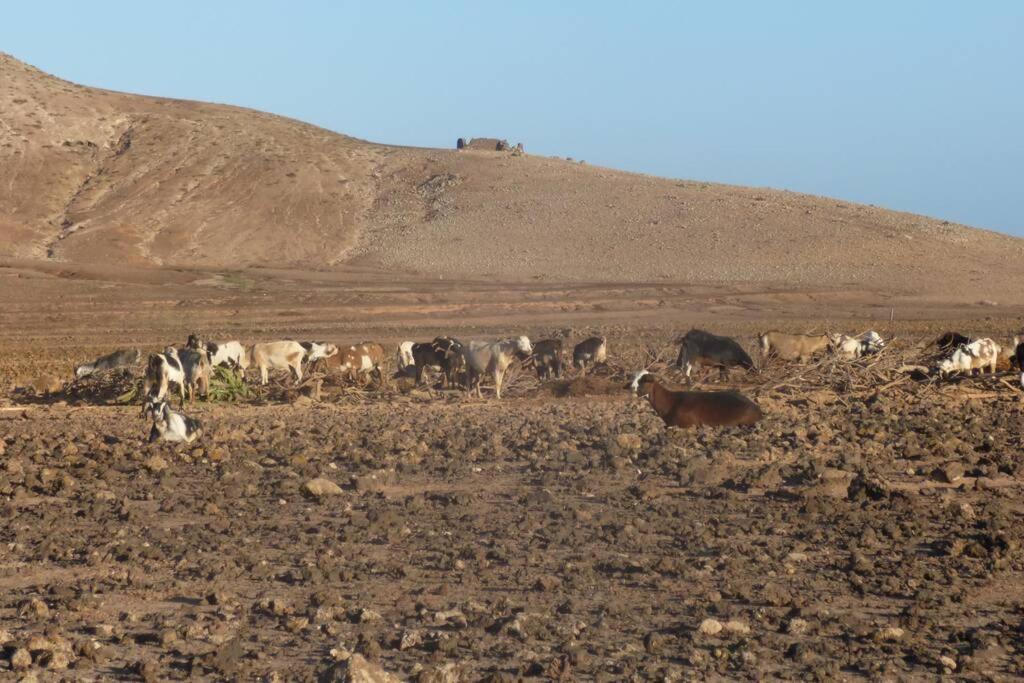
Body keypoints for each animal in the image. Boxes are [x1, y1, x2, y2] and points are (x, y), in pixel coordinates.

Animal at [626, 368, 765, 428]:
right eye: (634, 377)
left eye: (644, 380)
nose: (631, 387)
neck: (671, 402)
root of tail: (756, 408)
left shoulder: (686, 424)